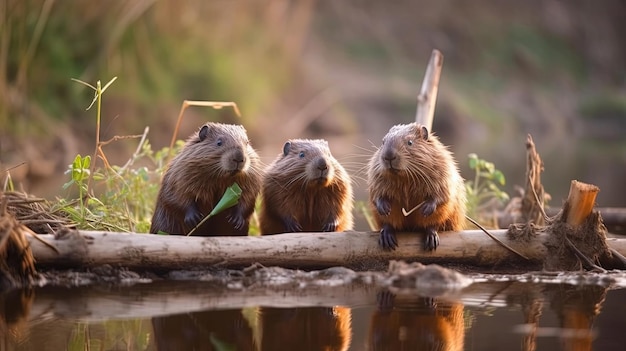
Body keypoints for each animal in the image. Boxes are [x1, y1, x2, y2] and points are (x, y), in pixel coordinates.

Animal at [366, 122, 464, 252]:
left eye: (410, 142)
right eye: (383, 142)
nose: (389, 156)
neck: (405, 178)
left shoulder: (443, 169)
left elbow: (443, 195)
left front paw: (426, 209)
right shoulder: (375, 172)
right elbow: (375, 194)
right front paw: (384, 208)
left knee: (433, 225)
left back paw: (431, 238)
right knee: (387, 224)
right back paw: (387, 238)